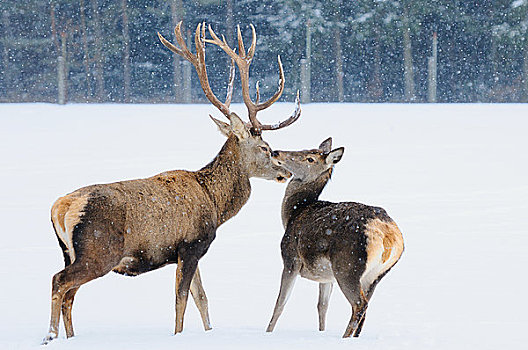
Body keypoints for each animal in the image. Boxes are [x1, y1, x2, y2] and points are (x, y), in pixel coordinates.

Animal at [42, 22, 300, 344]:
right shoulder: (191, 244)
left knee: (69, 294)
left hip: (69, 251)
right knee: (59, 282)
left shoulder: (188, 251)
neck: (215, 203)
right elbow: (181, 301)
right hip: (99, 251)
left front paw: (209, 332)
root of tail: (61, 207)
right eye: (265, 148)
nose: (285, 172)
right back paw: (50, 336)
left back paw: (70, 337)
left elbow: (202, 299)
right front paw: (177, 334)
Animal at [266, 138, 406, 338]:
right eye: (304, 148)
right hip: (375, 275)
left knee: (359, 304)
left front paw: (267, 332)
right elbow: (322, 306)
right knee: (366, 305)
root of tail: (388, 234)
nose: (275, 152)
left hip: (347, 266)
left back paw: (345, 337)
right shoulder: (326, 276)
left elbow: (280, 304)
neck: (293, 214)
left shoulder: (291, 258)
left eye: (310, 159)